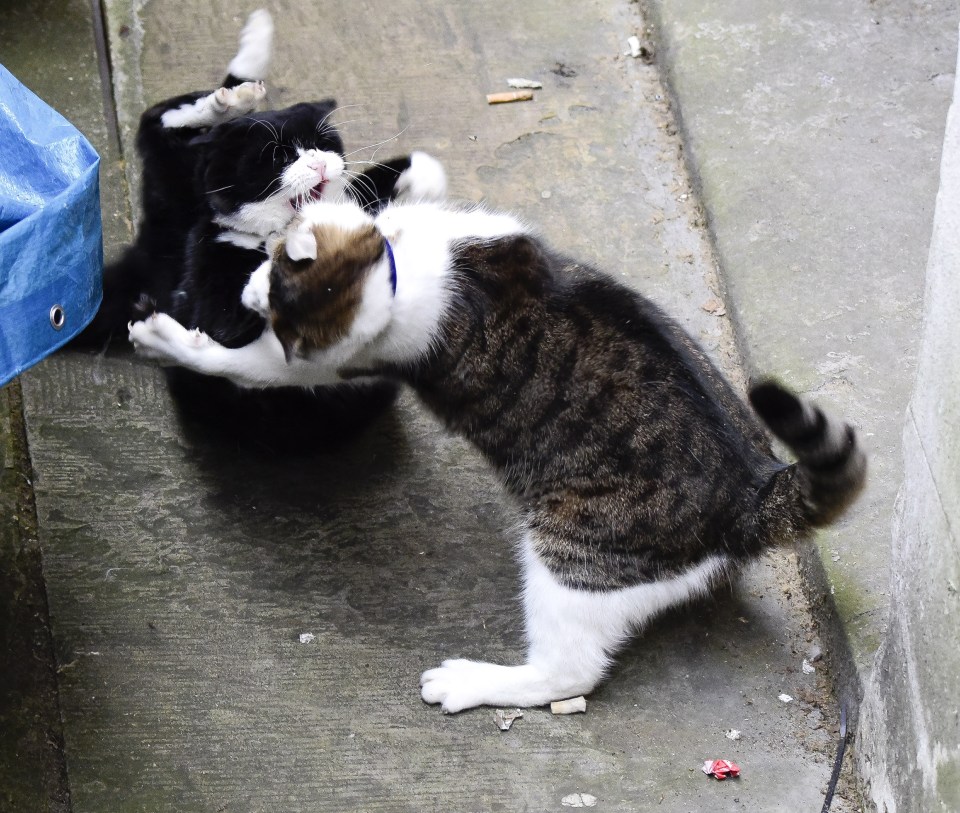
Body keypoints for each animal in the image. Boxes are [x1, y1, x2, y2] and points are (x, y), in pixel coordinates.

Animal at [80, 6, 444, 448]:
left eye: (322, 144)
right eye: (277, 158)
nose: (317, 162)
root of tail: (147, 254)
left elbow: (363, 189)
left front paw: (423, 172)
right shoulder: (211, 283)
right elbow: (228, 318)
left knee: (167, 124)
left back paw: (238, 97)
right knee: (159, 119)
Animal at [124, 200, 868, 708]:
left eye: (274, 296)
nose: (249, 292)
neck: (401, 275)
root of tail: (754, 490)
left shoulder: (324, 360)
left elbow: (243, 364)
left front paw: (172, 339)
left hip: (572, 556)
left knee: (570, 674)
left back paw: (472, 682)